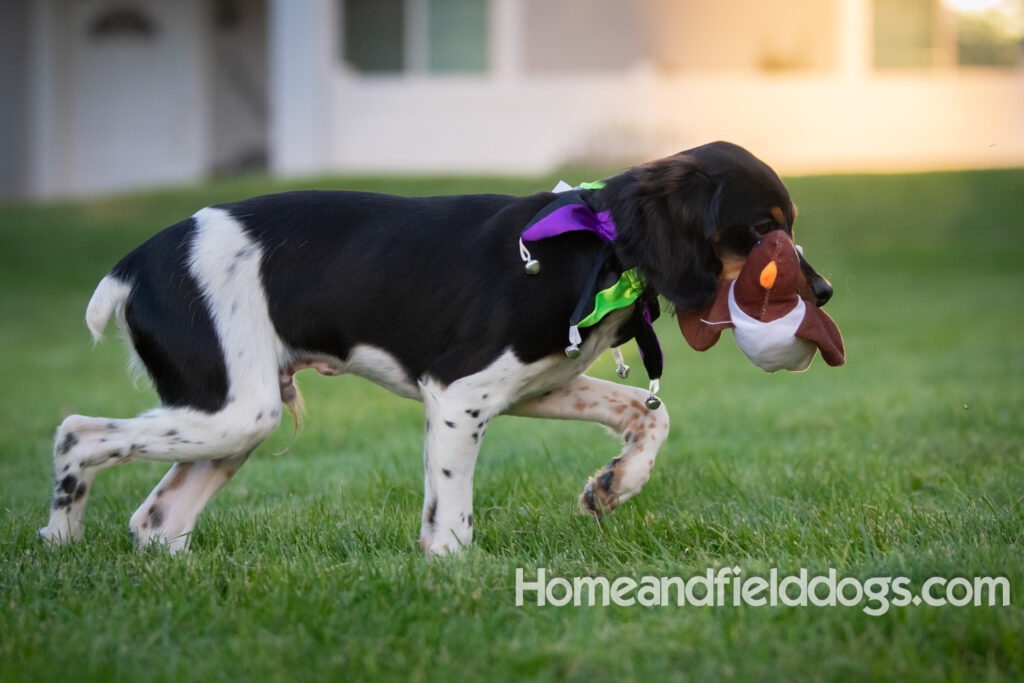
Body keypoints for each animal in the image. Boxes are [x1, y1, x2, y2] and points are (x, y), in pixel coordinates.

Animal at [41, 139, 831, 557]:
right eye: (765, 229)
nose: (822, 292)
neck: (601, 244)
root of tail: (134, 263)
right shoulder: (458, 392)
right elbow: (451, 508)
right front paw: (452, 570)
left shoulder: (540, 383)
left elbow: (648, 411)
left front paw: (615, 483)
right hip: (233, 408)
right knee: (76, 433)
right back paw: (59, 540)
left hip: (235, 418)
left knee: (156, 518)